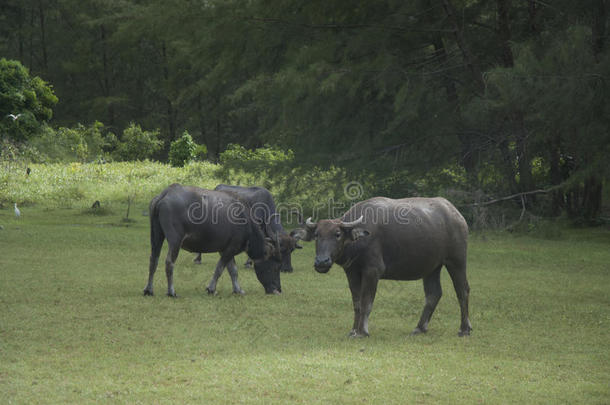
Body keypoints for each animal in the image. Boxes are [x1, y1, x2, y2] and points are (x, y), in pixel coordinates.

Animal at [144, 183, 282, 296]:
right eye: (275, 267)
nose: (278, 290)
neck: (245, 220)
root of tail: (165, 194)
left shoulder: (225, 249)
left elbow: (233, 270)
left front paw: (238, 290)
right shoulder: (231, 248)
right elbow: (220, 268)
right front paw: (211, 288)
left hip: (156, 235)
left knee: (153, 259)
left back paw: (149, 290)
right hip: (175, 240)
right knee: (169, 262)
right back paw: (171, 291)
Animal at [292, 197, 472, 336]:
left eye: (337, 234)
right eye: (317, 235)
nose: (322, 262)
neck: (358, 241)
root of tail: (457, 215)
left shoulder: (373, 271)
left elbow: (366, 302)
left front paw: (362, 332)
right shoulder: (351, 272)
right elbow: (357, 303)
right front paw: (353, 330)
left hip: (456, 261)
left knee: (462, 290)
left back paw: (464, 329)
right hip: (432, 267)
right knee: (433, 294)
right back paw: (420, 328)